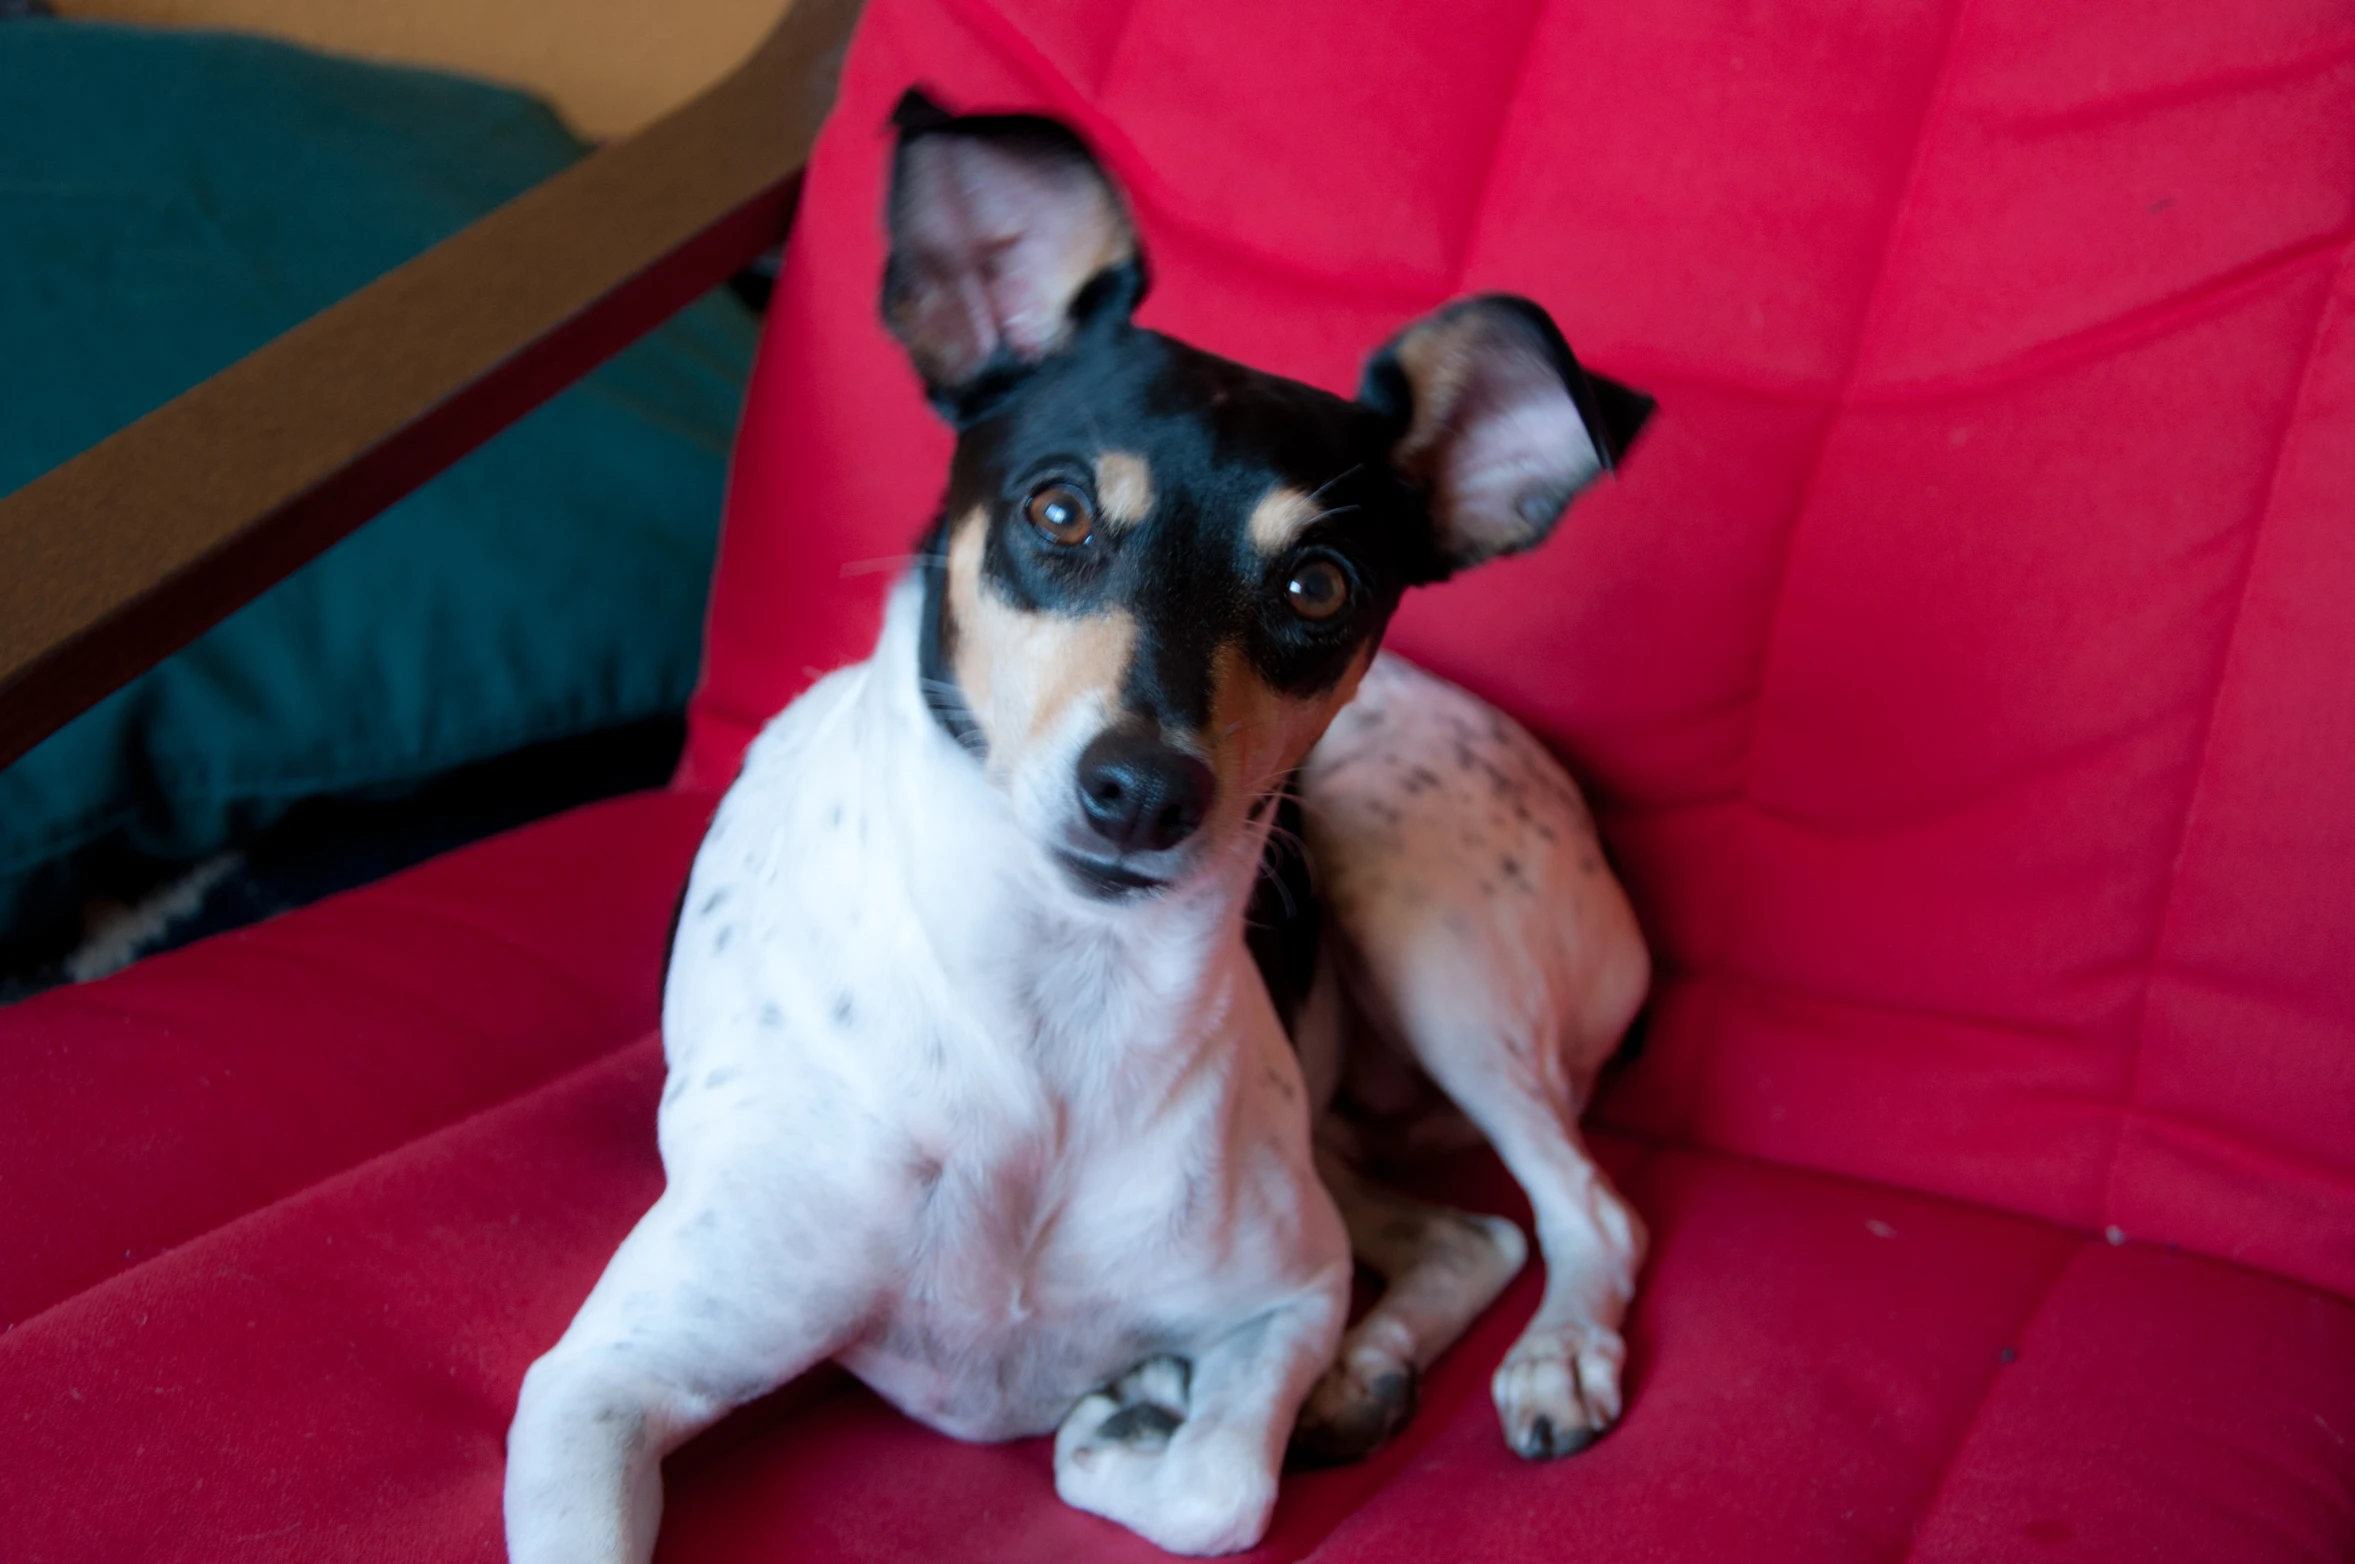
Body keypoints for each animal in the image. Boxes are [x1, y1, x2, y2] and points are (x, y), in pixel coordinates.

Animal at [506, 91, 1657, 1554]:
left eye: (1319, 583)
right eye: (1057, 509)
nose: (1143, 791)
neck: (1049, 1024)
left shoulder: (1284, 1292)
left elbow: (1215, 1490)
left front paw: (1127, 1421)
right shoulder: (598, 1387)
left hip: (1430, 940)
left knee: (1578, 1215)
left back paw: (1539, 1358)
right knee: (1477, 1232)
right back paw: (1369, 1373)